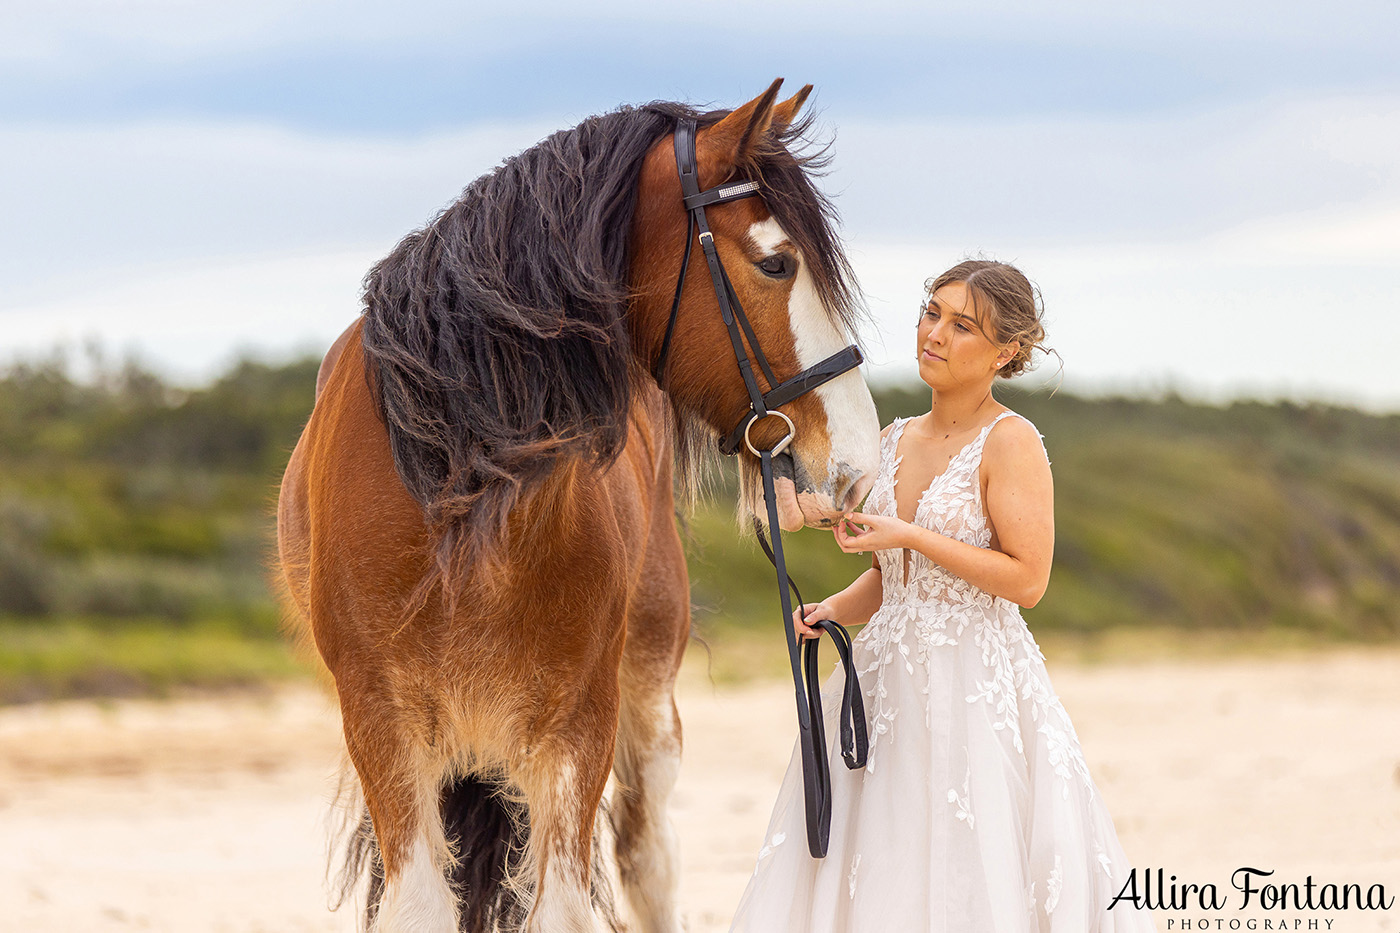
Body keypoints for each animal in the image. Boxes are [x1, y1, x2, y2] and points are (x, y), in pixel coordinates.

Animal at [275, 79, 873, 930]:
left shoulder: (575, 728)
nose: (860, 459)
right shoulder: (381, 727)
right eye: (775, 262)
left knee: (650, 857)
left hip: (645, 706)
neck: (458, 498)